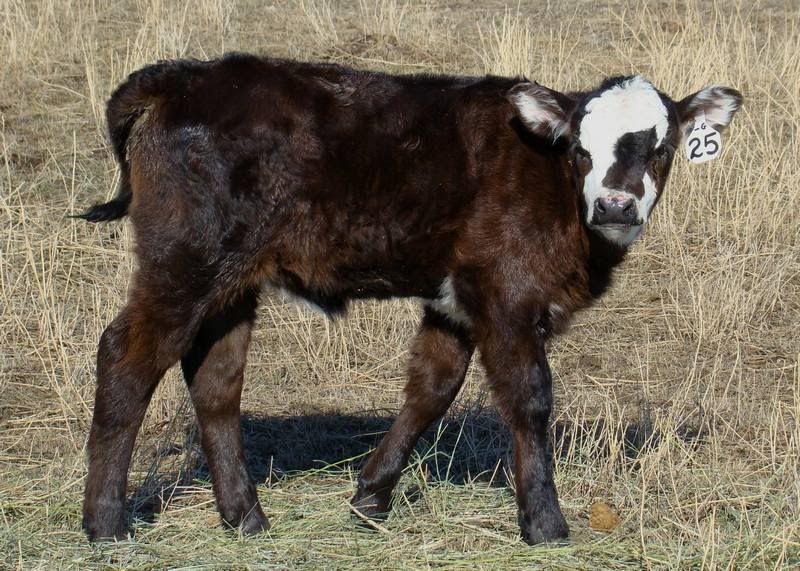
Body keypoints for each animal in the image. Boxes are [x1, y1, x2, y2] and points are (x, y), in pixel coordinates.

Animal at [77, 53, 742, 544]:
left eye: (661, 147)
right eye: (581, 148)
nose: (615, 205)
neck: (548, 178)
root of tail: (180, 76)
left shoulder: (456, 302)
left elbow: (432, 389)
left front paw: (371, 496)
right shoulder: (508, 296)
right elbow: (529, 399)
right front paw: (545, 523)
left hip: (231, 282)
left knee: (215, 381)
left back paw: (245, 517)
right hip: (185, 263)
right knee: (126, 358)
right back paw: (106, 523)